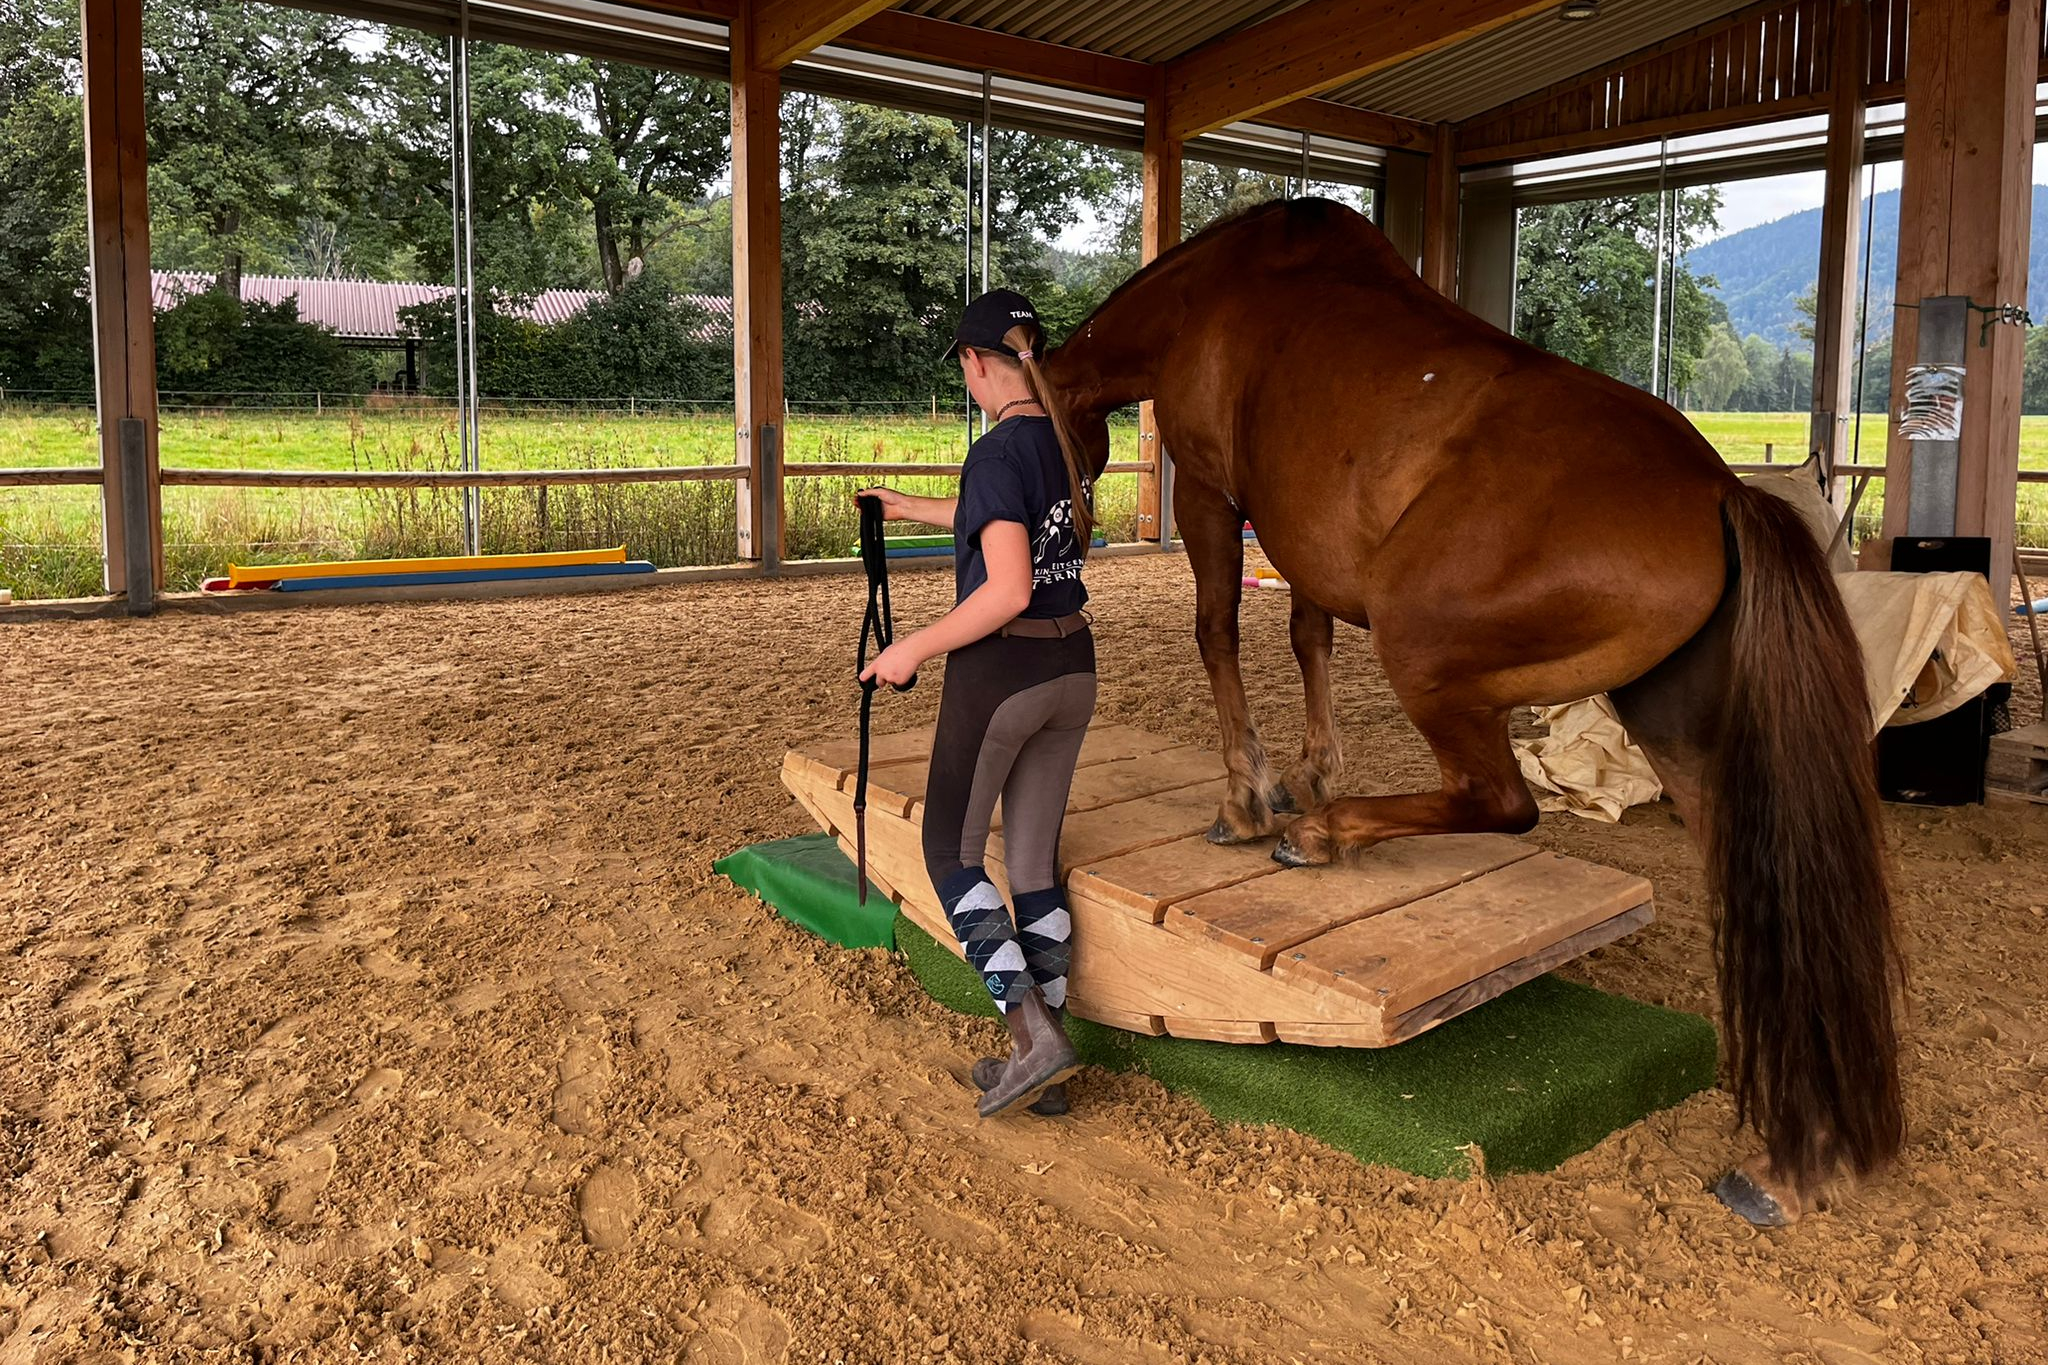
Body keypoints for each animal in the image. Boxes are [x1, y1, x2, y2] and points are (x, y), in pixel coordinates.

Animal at [1040, 200, 1900, 1227]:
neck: (1220, 291)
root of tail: (1722, 494)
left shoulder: (1212, 491)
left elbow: (1219, 631)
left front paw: (1254, 799)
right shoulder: (1304, 541)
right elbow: (1307, 634)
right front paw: (1306, 773)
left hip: (1420, 645)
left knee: (1500, 800)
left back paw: (1323, 835)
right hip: (1677, 730)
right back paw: (1791, 1158)